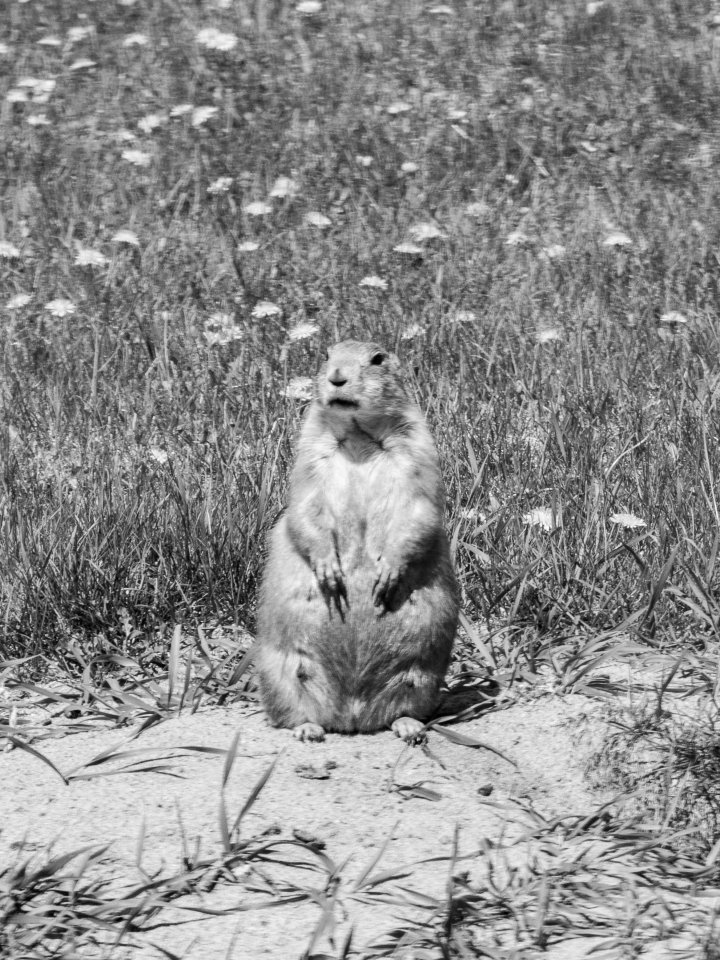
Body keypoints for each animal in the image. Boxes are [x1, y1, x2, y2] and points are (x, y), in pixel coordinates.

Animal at [255, 339, 459, 742]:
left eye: (377, 359)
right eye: (326, 355)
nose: (337, 376)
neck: (358, 434)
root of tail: (352, 715)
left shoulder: (420, 449)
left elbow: (420, 510)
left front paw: (388, 574)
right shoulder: (309, 453)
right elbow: (305, 506)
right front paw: (330, 571)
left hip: (422, 675)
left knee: (403, 707)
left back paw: (409, 727)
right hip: (280, 671)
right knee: (291, 712)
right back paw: (309, 729)